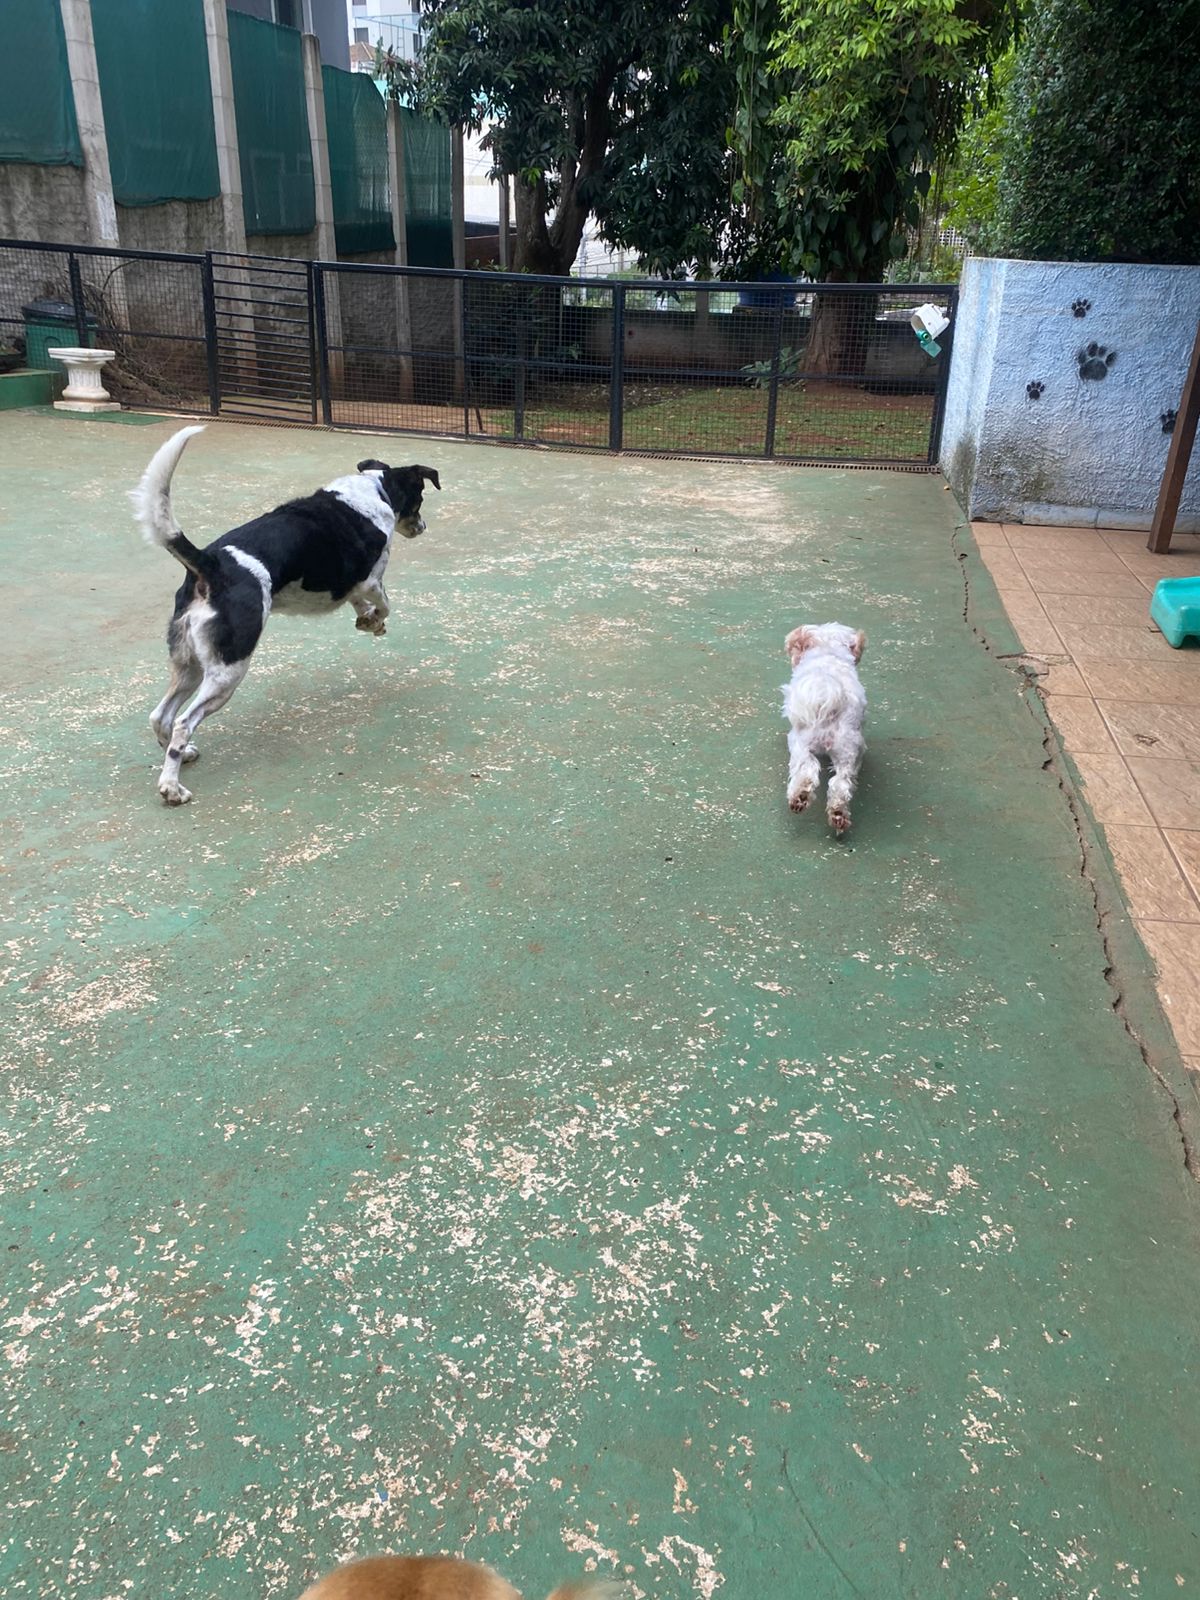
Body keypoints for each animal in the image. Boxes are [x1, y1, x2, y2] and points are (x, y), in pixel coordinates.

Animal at [133, 425, 439, 805]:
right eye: (420, 500)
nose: (422, 527)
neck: (373, 490)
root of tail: (209, 563)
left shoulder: (354, 586)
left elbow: (360, 604)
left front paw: (367, 622)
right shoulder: (371, 579)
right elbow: (384, 603)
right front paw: (373, 620)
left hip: (190, 664)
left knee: (160, 716)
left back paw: (181, 757)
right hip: (228, 670)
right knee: (182, 722)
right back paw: (172, 787)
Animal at [782, 622, 866, 834]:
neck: (828, 652)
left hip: (799, 744)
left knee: (808, 771)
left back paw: (800, 798)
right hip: (846, 751)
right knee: (840, 784)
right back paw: (837, 815)